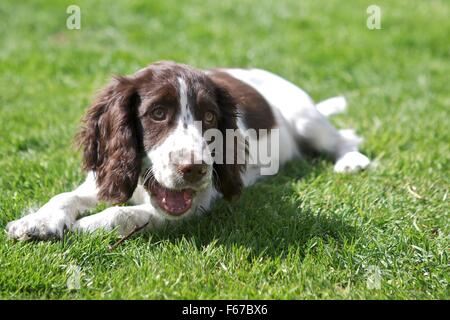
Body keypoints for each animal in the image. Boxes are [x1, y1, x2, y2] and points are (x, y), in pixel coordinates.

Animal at [5, 60, 370, 240]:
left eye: (209, 117)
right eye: (157, 113)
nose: (194, 169)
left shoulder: (198, 204)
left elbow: (124, 214)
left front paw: (81, 227)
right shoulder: (105, 175)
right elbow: (65, 196)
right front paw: (37, 222)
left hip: (305, 116)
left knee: (344, 138)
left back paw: (352, 161)